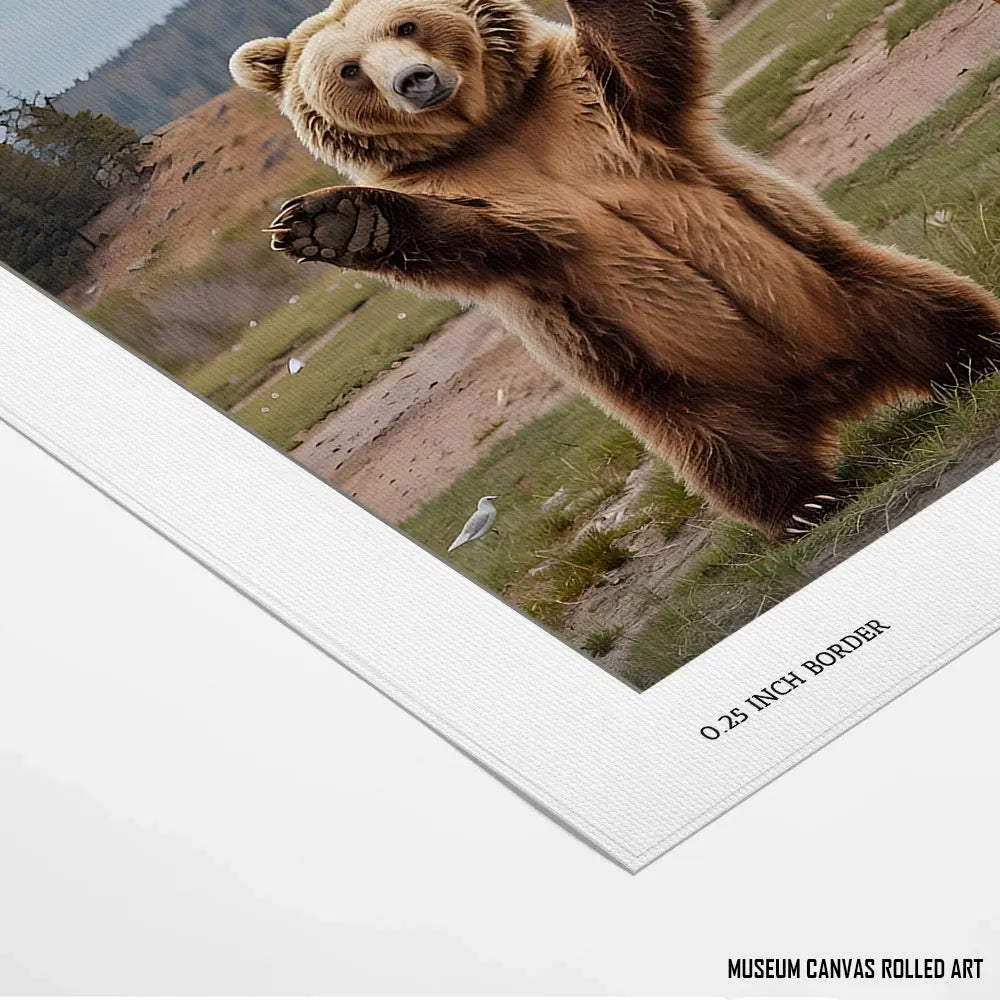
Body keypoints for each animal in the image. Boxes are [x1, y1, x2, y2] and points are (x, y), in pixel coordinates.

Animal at [230, 0, 1000, 539]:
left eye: (407, 23)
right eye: (348, 69)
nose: (415, 81)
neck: (493, 133)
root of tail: (841, 387)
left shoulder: (584, 104)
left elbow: (641, 49)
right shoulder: (494, 209)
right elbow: (479, 240)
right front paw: (335, 221)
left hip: (846, 281)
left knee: (935, 309)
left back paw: (975, 362)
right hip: (678, 396)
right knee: (734, 459)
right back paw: (808, 503)